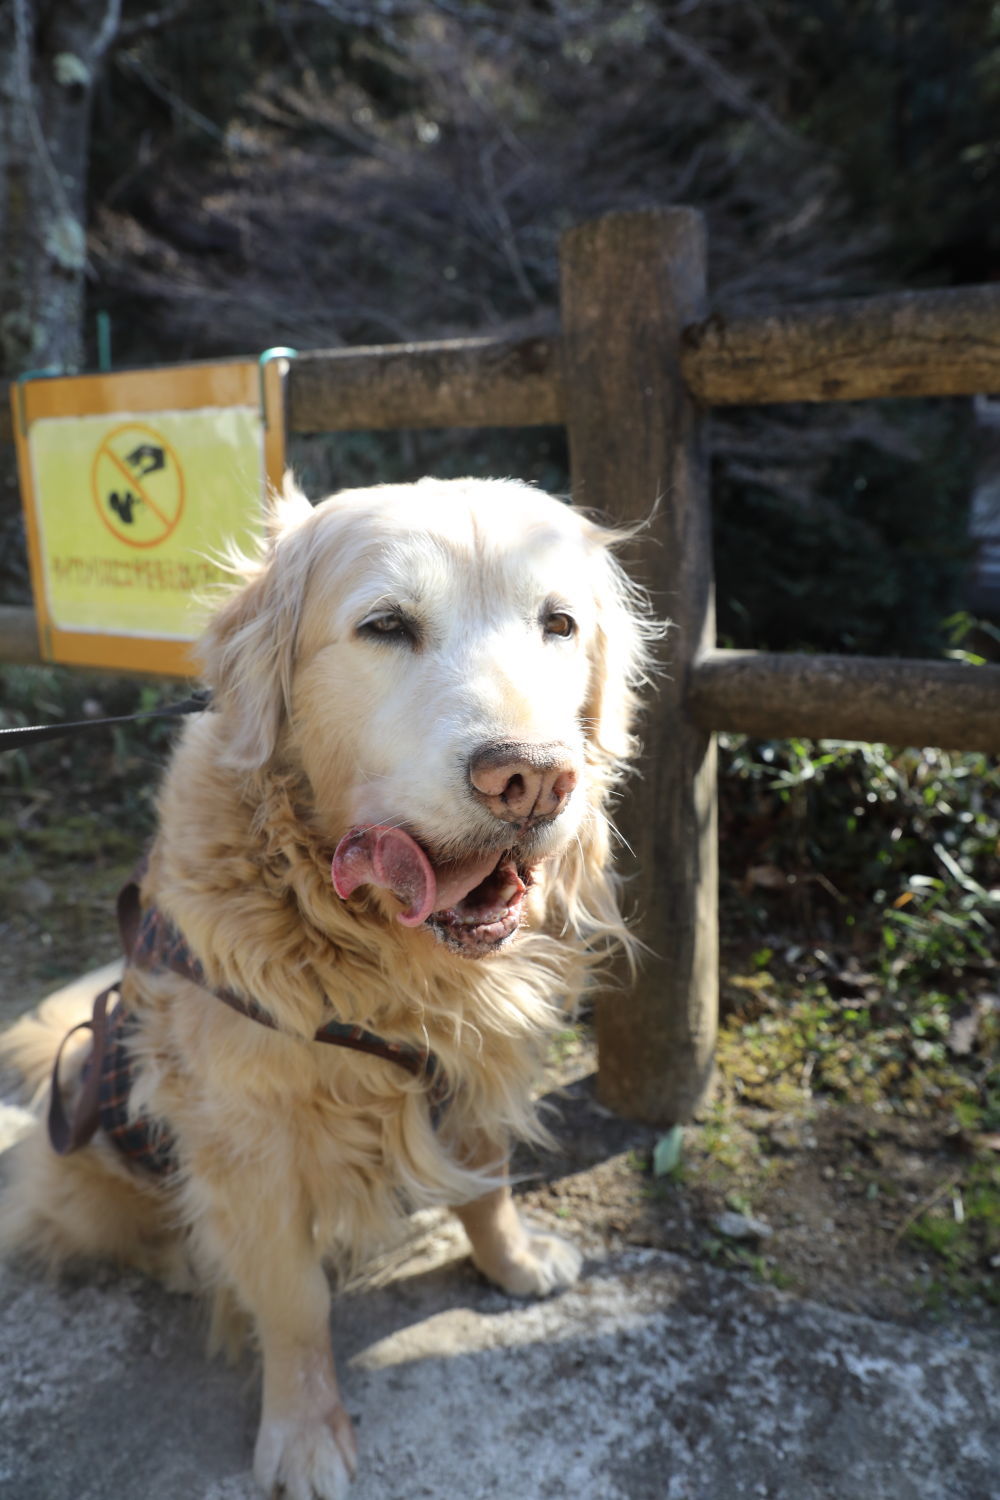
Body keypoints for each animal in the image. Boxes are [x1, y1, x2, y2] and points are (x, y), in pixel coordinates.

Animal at [0, 477, 653, 1500]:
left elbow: (487, 1186)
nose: (531, 778)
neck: (386, 954)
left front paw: (510, 1261)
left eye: (559, 623)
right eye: (385, 625)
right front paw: (304, 1431)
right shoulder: (252, 1141)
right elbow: (293, 1297)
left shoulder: (478, 1063)